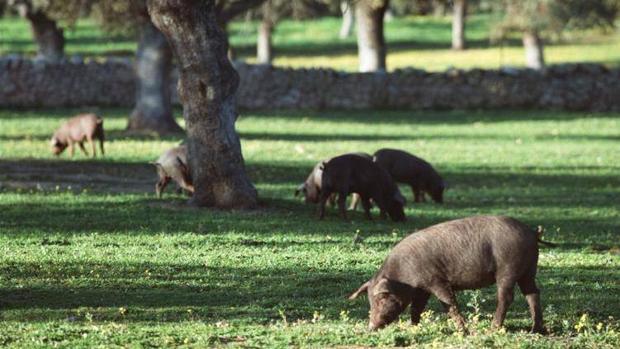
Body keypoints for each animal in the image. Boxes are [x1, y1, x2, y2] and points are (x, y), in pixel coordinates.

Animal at [352, 215, 548, 332]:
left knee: (507, 297)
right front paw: (413, 327)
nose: (371, 327)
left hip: (508, 269)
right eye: (370, 300)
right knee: (533, 293)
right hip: (529, 270)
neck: (402, 274)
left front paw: (464, 332)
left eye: (381, 298)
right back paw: (536, 330)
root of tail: (531, 232)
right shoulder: (422, 288)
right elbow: (417, 307)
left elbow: (449, 304)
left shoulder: (436, 280)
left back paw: (493, 328)